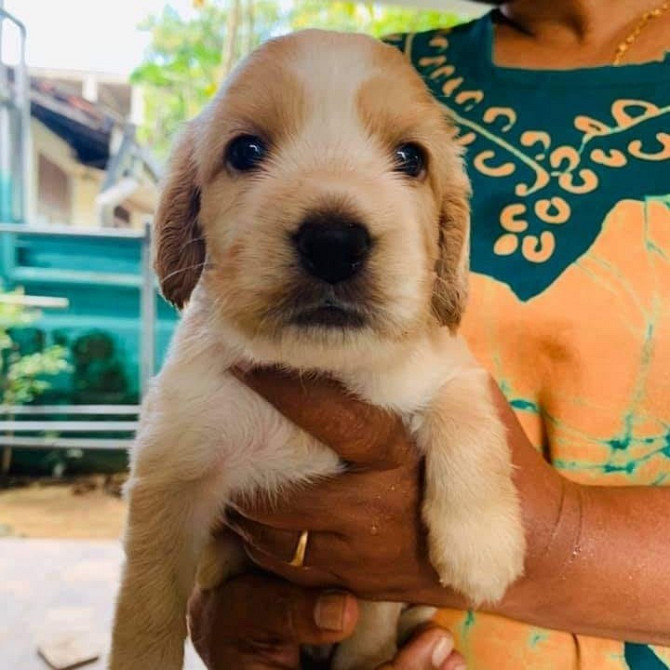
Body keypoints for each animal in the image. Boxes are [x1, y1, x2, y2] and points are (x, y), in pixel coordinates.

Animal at [110, 28, 528, 670]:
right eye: (246, 150)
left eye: (411, 158)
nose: (335, 243)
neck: (318, 363)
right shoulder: (168, 474)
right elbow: (147, 609)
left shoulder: (452, 364)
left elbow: (465, 406)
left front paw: (483, 547)